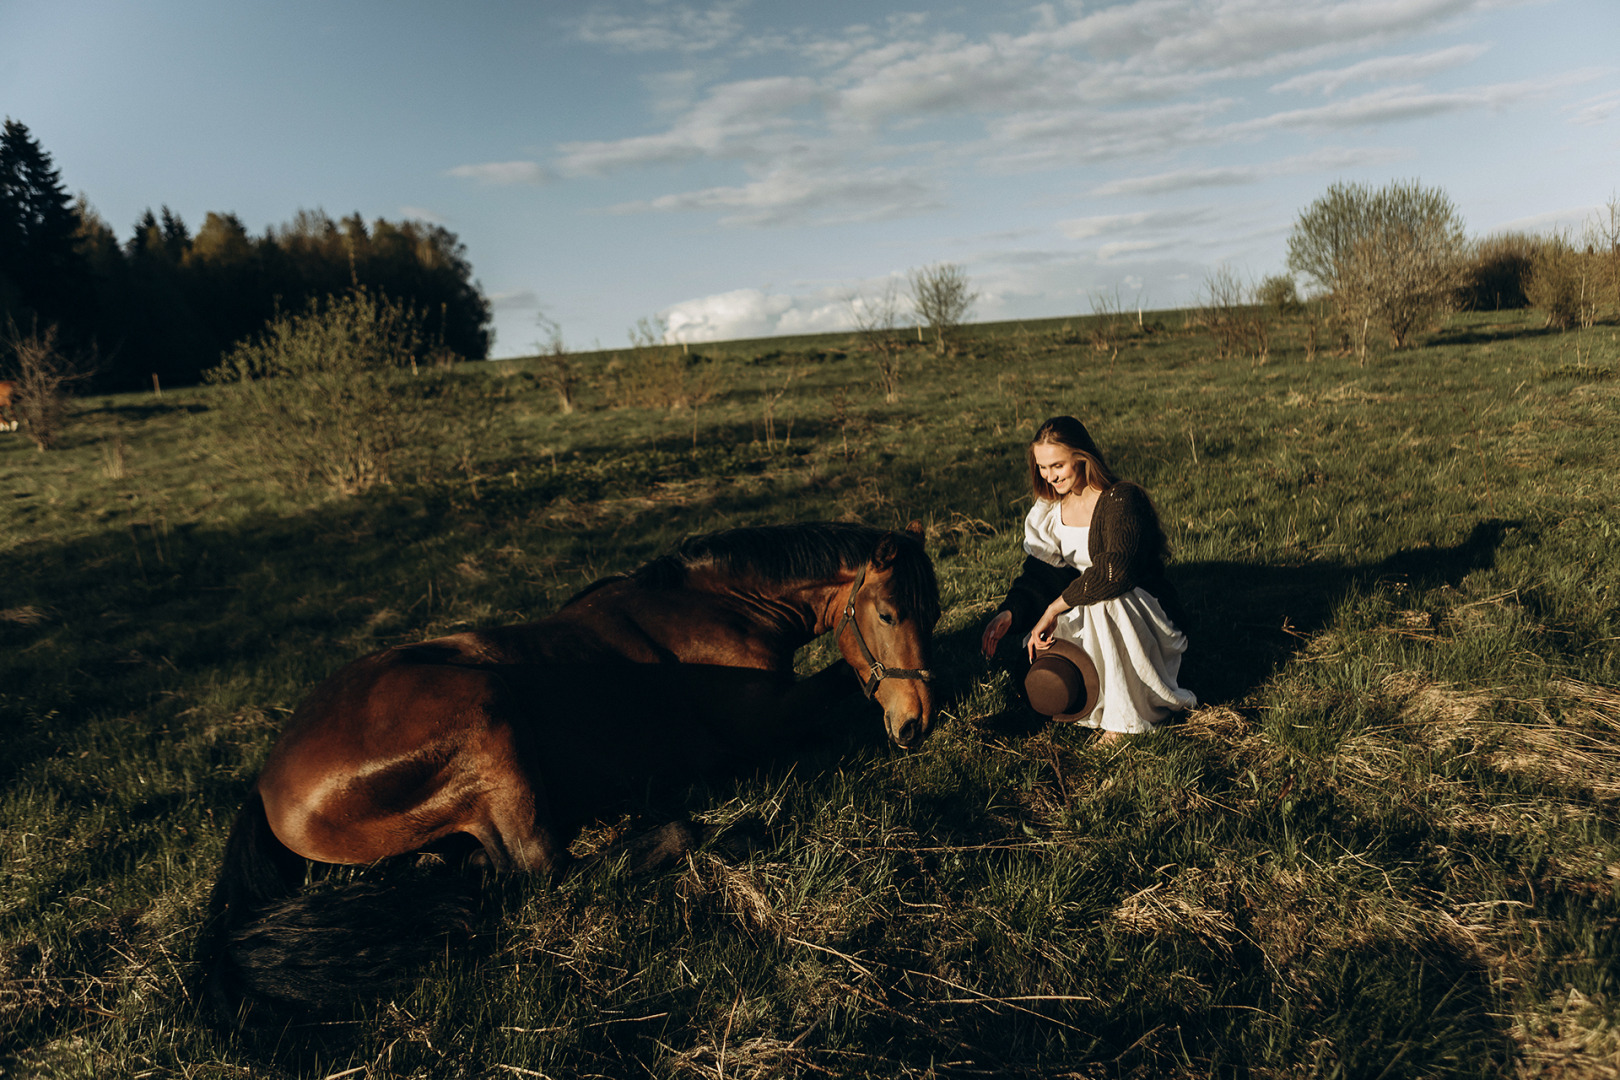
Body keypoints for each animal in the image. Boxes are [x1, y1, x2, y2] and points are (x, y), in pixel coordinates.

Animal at [197, 518, 946, 1029]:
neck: (719, 608)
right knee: (543, 867)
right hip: (488, 711)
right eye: (886, 613)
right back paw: (714, 828)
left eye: (932, 611)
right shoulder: (770, 719)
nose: (917, 724)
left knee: (481, 866)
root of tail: (265, 785)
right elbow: (841, 685)